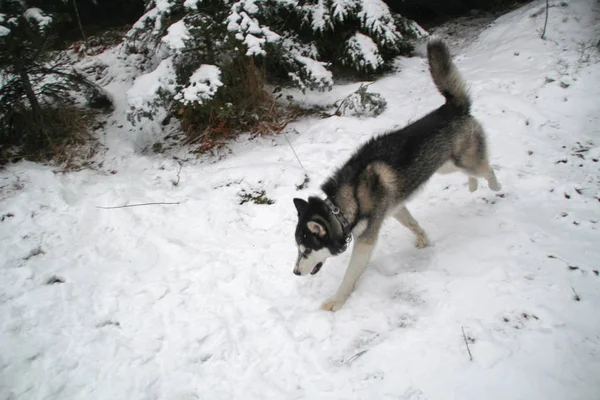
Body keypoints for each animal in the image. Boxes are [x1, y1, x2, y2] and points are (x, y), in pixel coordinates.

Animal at [292, 38, 500, 312]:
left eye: (306, 250)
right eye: (298, 248)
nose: (295, 272)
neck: (344, 207)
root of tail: (452, 107)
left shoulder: (366, 241)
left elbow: (349, 275)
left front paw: (337, 300)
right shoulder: (396, 208)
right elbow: (414, 224)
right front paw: (423, 238)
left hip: (464, 161)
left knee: (487, 168)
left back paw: (494, 185)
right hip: (446, 165)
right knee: (472, 171)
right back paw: (473, 186)